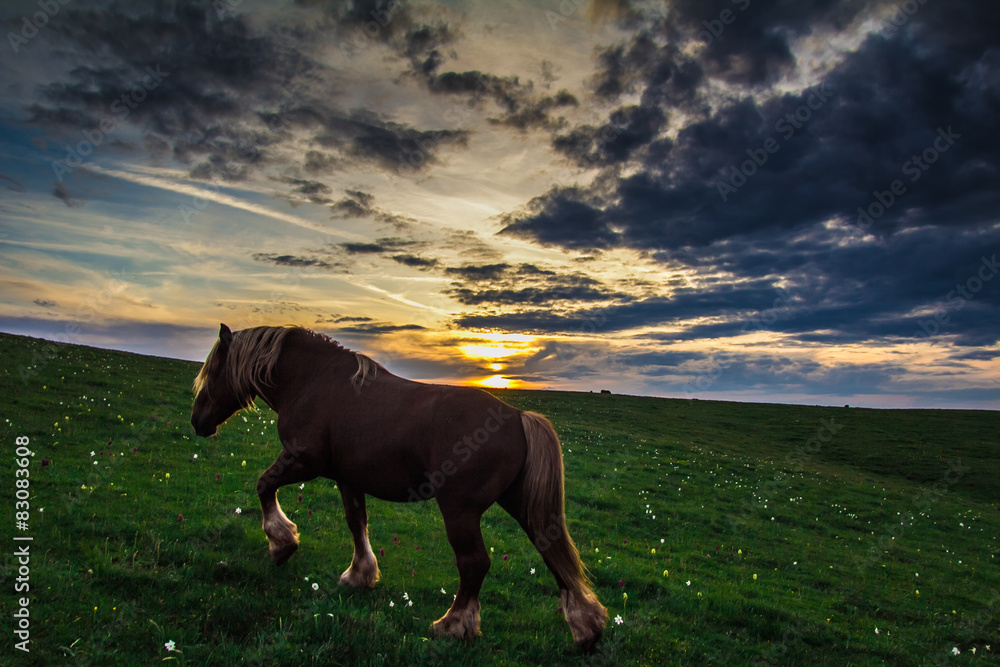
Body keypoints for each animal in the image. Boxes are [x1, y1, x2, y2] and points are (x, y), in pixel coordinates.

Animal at [190, 326, 604, 648]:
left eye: (212, 371)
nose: (197, 421)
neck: (312, 381)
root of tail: (518, 417)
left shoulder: (302, 461)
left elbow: (264, 486)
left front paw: (282, 544)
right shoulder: (348, 478)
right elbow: (356, 523)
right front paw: (360, 575)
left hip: (460, 510)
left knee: (475, 563)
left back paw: (453, 624)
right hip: (520, 504)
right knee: (553, 552)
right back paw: (588, 628)